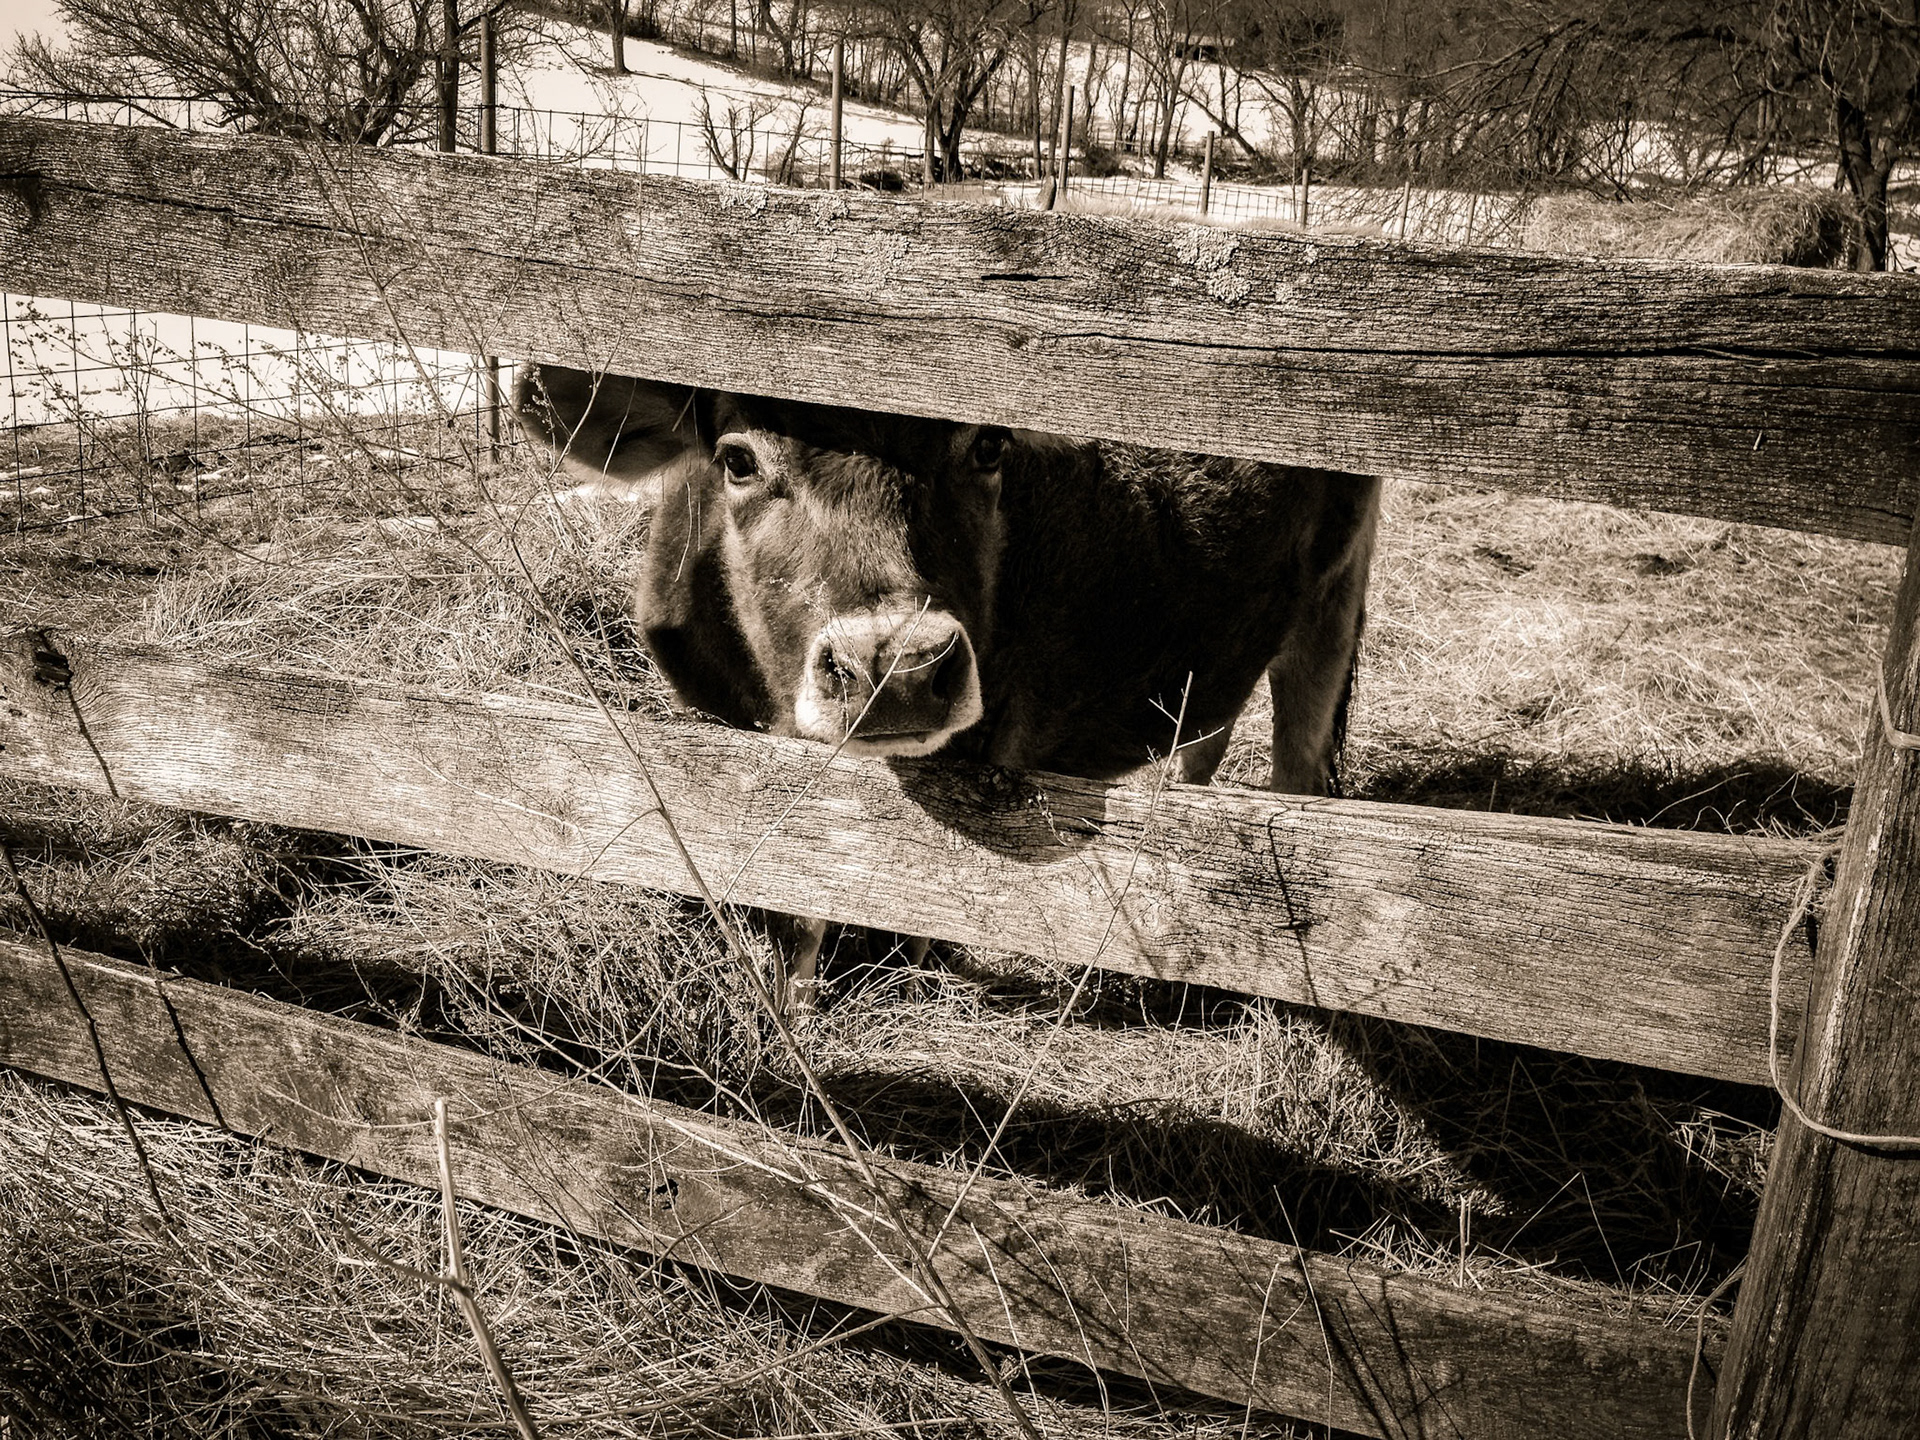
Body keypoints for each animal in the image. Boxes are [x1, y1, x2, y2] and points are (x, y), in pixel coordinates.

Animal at [516, 364, 1380, 1009]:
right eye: (738, 460)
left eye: (990, 446)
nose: (893, 669)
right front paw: (793, 1004)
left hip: (1333, 602)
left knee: (1301, 768)